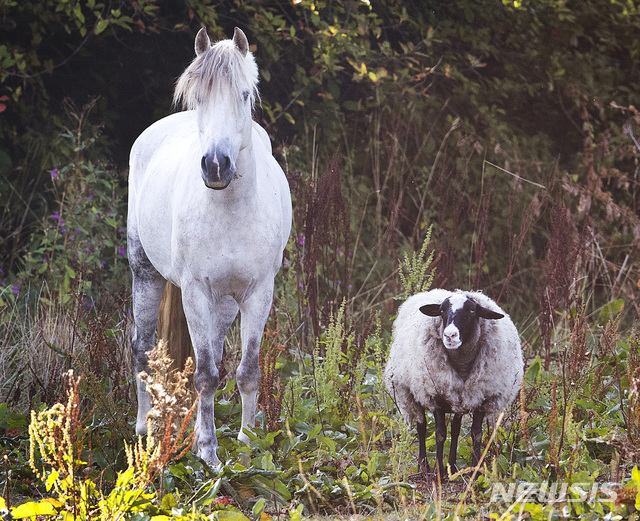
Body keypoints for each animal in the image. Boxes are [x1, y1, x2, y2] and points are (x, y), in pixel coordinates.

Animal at [126, 26, 292, 466]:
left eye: (245, 95)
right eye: (198, 97)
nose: (216, 165)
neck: (230, 210)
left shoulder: (258, 293)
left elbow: (245, 372)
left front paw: (249, 448)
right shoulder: (195, 292)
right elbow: (204, 374)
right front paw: (209, 454)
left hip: (226, 302)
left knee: (214, 355)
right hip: (144, 273)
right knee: (143, 349)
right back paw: (146, 429)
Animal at [382, 288, 524, 480]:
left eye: (472, 310)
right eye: (442, 311)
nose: (450, 335)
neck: (462, 364)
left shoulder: (482, 397)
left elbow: (476, 433)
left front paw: (475, 471)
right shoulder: (435, 397)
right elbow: (440, 434)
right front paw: (439, 471)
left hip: (459, 399)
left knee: (456, 429)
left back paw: (453, 466)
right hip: (413, 393)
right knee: (421, 426)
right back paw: (424, 465)